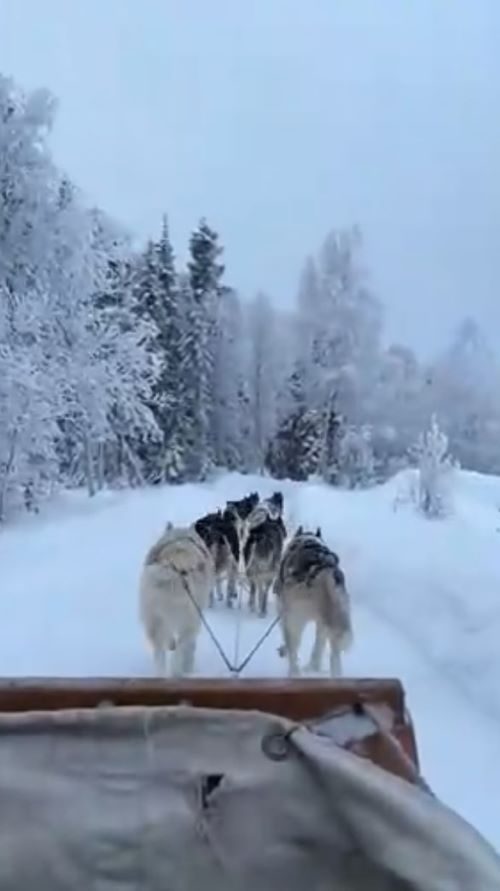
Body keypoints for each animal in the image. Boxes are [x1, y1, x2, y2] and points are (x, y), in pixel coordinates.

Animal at [139, 524, 215, 676]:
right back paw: (178, 670)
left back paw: (163, 673)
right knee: (182, 647)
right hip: (187, 621)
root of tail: (177, 567)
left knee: (161, 652)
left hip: (155, 618)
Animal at [276, 528, 354, 680]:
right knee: (333, 656)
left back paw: (294, 673)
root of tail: (323, 571)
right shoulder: (322, 623)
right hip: (333, 623)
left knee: (294, 650)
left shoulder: (284, 614)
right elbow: (319, 644)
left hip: (295, 622)